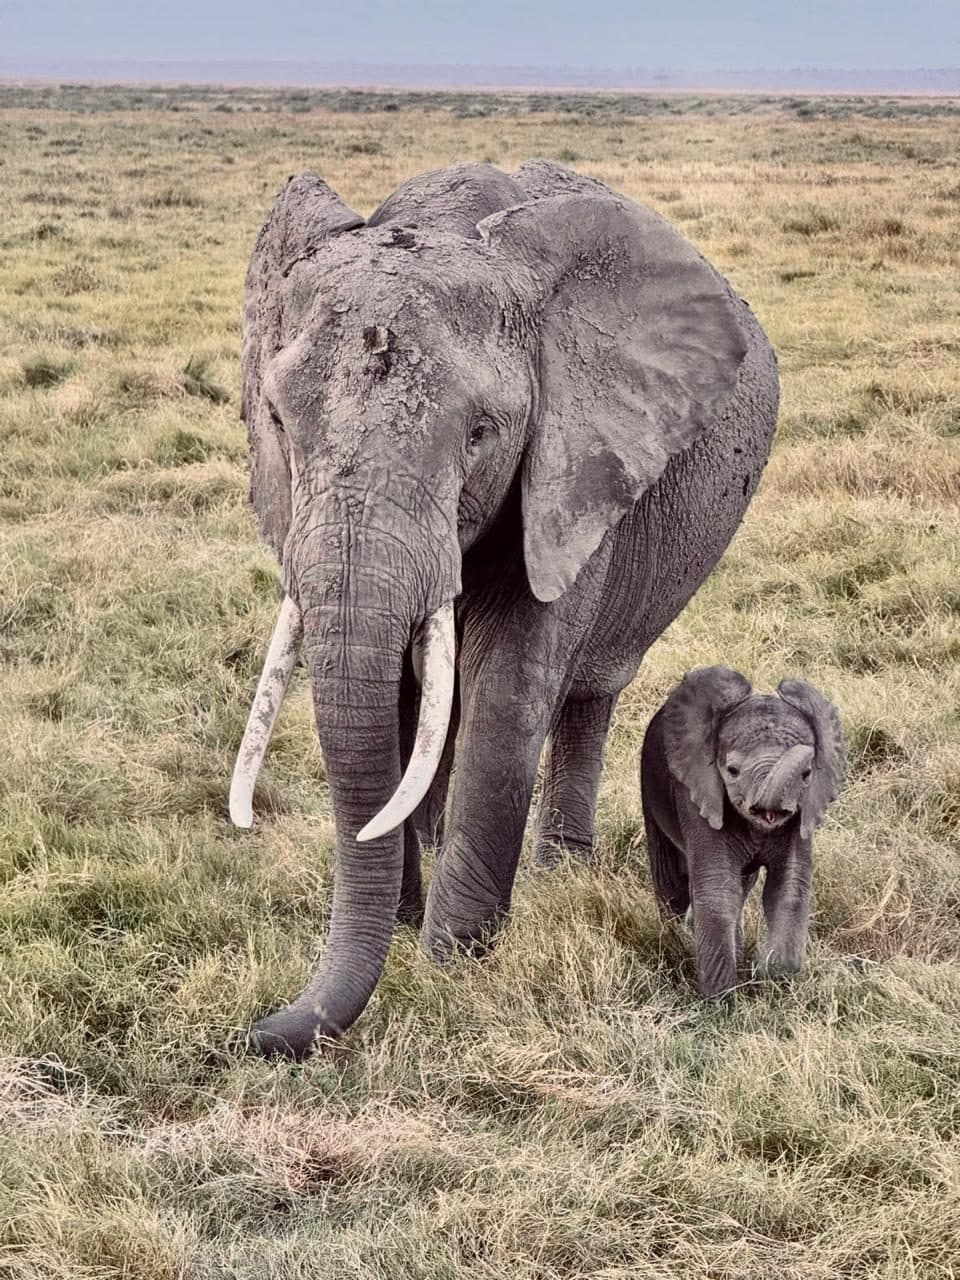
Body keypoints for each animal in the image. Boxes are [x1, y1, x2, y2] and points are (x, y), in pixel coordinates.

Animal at [229, 159, 780, 1058]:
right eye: (277, 419)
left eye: (481, 434)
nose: (256, 1032)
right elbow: (400, 693)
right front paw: (411, 920)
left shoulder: (572, 466)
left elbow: (507, 689)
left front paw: (451, 958)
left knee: (591, 690)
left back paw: (563, 871)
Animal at [640, 666, 845, 998]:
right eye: (733, 771)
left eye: (806, 775)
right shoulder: (697, 792)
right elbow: (718, 889)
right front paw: (723, 1001)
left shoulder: (803, 814)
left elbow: (789, 886)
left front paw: (774, 983)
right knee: (672, 880)